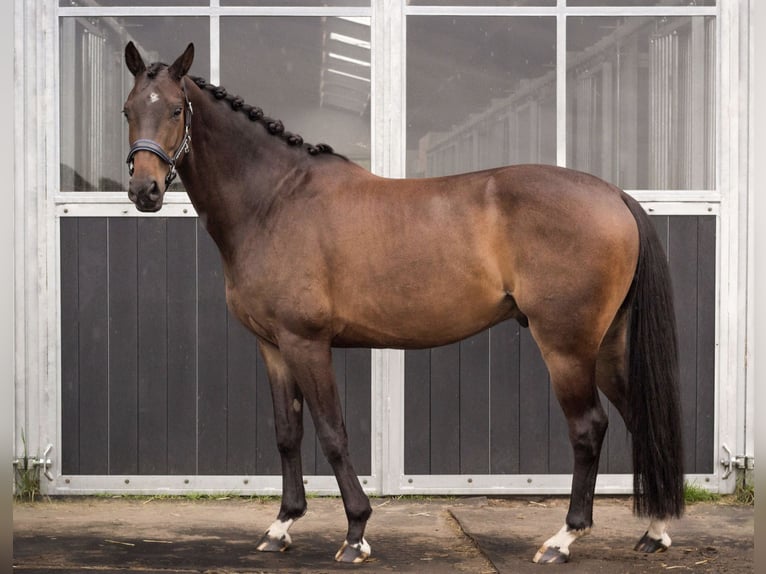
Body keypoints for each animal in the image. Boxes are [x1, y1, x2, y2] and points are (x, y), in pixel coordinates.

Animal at [122, 41, 685, 565]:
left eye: (176, 109)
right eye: (128, 110)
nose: (145, 190)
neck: (275, 201)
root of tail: (613, 195)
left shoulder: (307, 343)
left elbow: (332, 433)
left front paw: (355, 533)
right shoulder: (273, 346)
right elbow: (287, 433)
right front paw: (281, 526)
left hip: (567, 347)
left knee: (589, 428)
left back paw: (563, 539)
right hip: (608, 346)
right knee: (640, 420)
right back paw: (654, 531)